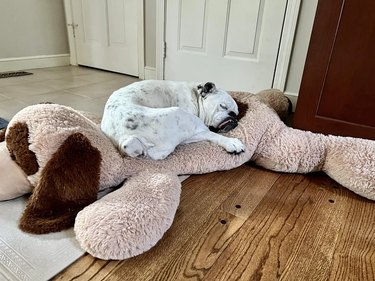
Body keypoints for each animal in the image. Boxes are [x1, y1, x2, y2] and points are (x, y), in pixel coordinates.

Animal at [101, 80, 245, 160]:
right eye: (223, 106)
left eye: (237, 114)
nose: (233, 117)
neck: (196, 97)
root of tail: (124, 139)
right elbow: (211, 134)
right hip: (182, 116)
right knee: (209, 134)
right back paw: (232, 142)